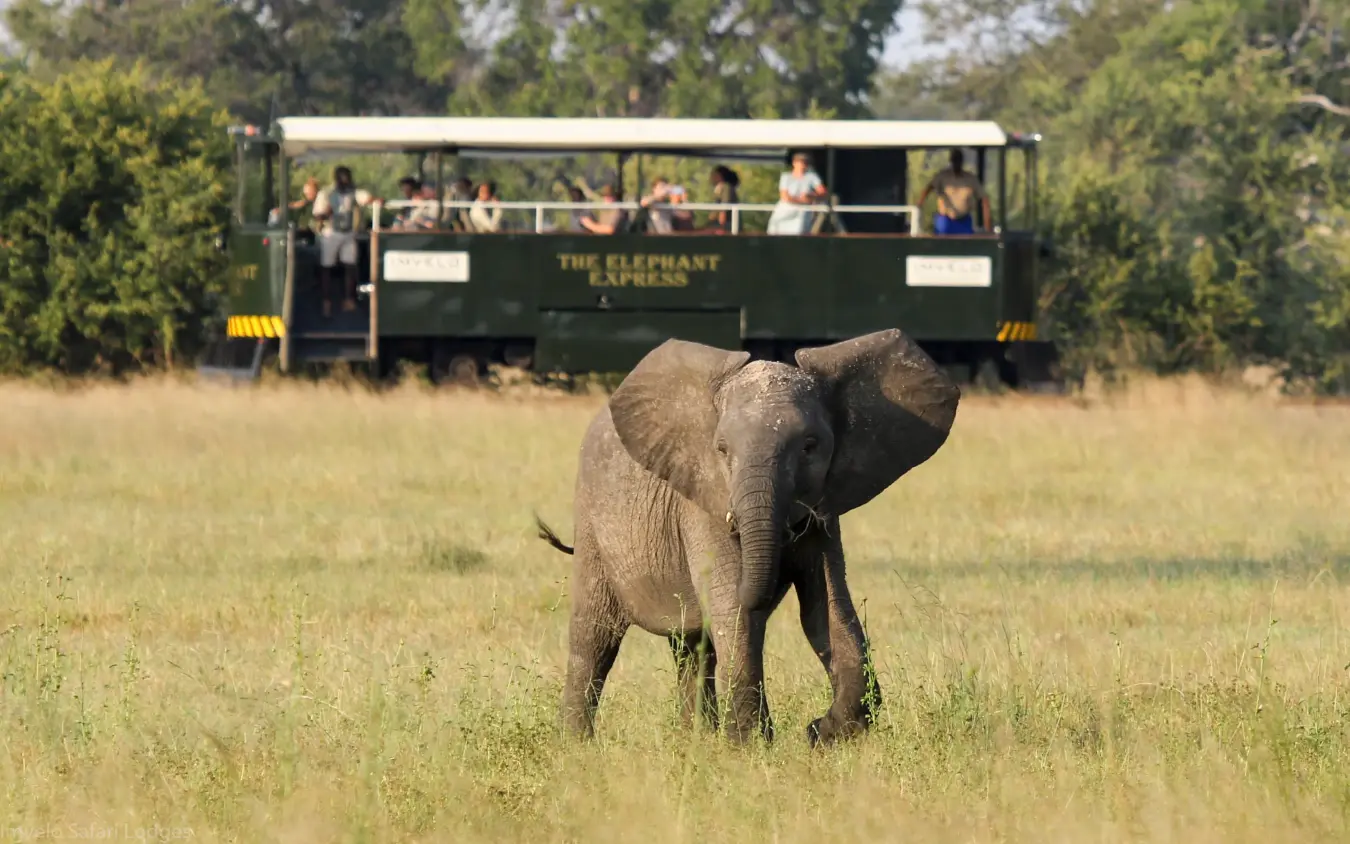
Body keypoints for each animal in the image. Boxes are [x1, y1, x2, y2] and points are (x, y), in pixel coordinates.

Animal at [536, 328, 960, 746]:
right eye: (722, 450)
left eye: (810, 447)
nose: (811, 727)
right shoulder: (706, 502)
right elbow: (733, 609)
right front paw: (752, 745)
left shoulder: (824, 509)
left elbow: (826, 608)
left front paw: (823, 734)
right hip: (592, 525)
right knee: (596, 636)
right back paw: (576, 745)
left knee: (693, 646)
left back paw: (697, 740)